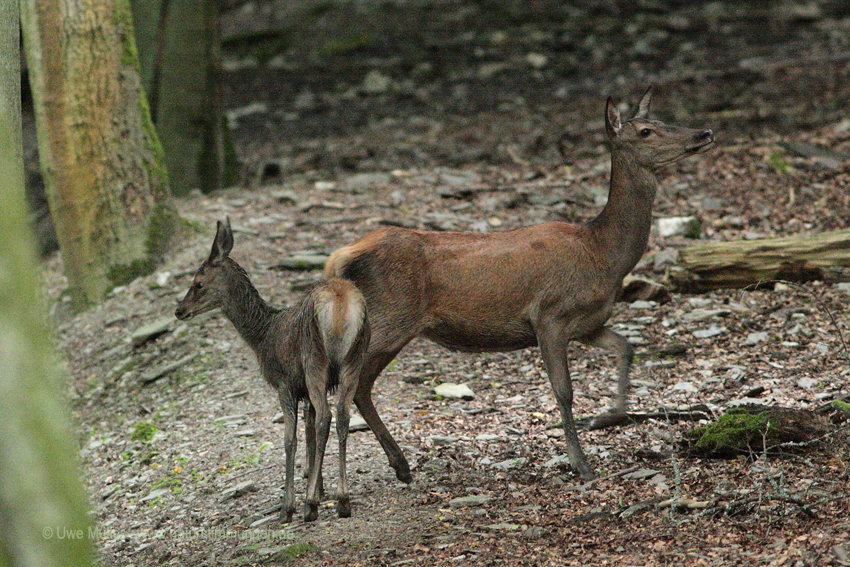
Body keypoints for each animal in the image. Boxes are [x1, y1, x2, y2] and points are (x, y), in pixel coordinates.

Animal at [175, 219, 368, 524]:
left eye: (198, 283)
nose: (179, 310)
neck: (263, 336)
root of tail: (341, 302)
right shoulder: (304, 389)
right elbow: (309, 434)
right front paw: (318, 487)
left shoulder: (285, 382)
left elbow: (290, 439)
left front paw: (289, 506)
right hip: (355, 358)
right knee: (341, 417)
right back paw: (343, 500)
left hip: (314, 358)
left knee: (326, 417)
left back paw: (310, 505)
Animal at [328, 86, 712, 482]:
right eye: (646, 131)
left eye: (664, 119)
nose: (704, 133)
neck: (603, 255)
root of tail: (342, 257)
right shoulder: (551, 315)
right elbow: (564, 390)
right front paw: (580, 463)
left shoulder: (588, 323)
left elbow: (626, 348)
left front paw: (610, 416)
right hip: (390, 318)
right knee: (344, 386)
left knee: (359, 386)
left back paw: (400, 465)